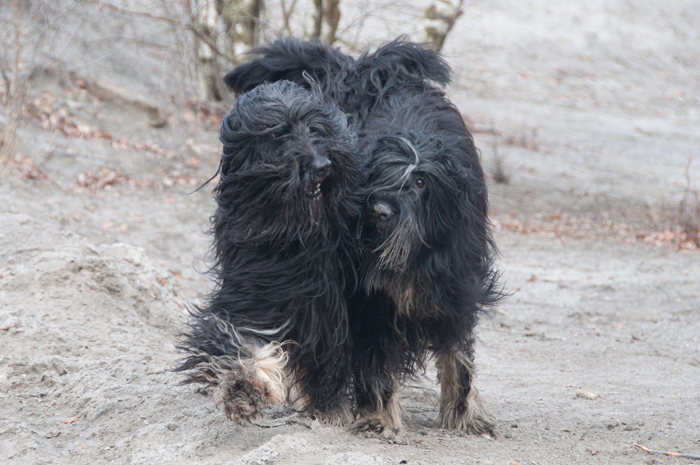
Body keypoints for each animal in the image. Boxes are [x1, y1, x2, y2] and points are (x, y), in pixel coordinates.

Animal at [175, 80, 360, 424]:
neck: (286, 234)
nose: (322, 166)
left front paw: (328, 410)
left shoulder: (323, 310)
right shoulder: (249, 298)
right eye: (278, 134)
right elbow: (241, 343)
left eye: (315, 128)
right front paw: (244, 388)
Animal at [227, 38, 506, 434]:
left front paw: (463, 416)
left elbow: (457, 360)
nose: (380, 209)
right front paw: (379, 418)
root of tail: (369, 71)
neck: (413, 255)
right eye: (378, 174)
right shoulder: (372, 304)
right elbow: (376, 365)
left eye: (420, 183)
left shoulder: (456, 290)